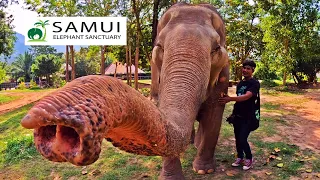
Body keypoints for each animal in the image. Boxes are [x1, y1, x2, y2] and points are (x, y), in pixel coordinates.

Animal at [20, 2, 229, 179]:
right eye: (160, 47)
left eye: (216, 49)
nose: (54, 129)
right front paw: (171, 177)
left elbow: (214, 116)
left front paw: (203, 170)